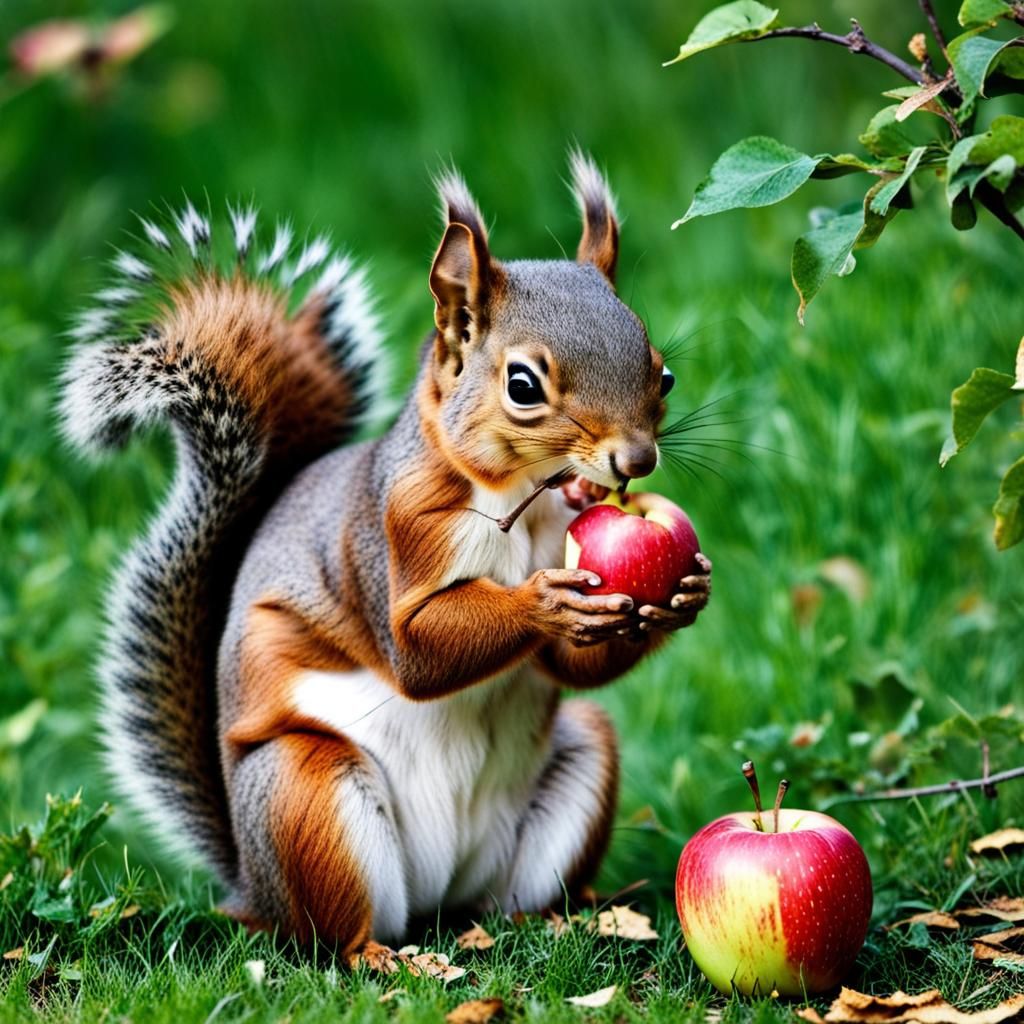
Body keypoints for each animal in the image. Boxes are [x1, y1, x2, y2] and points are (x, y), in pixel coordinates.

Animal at [60, 151, 712, 954]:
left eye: (663, 372)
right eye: (522, 385)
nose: (635, 462)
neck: (521, 500)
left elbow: (570, 667)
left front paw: (684, 594)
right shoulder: (393, 533)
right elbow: (417, 652)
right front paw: (544, 602)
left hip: (575, 767)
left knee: (513, 897)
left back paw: (558, 920)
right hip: (309, 796)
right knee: (336, 934)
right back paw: (387, 959)